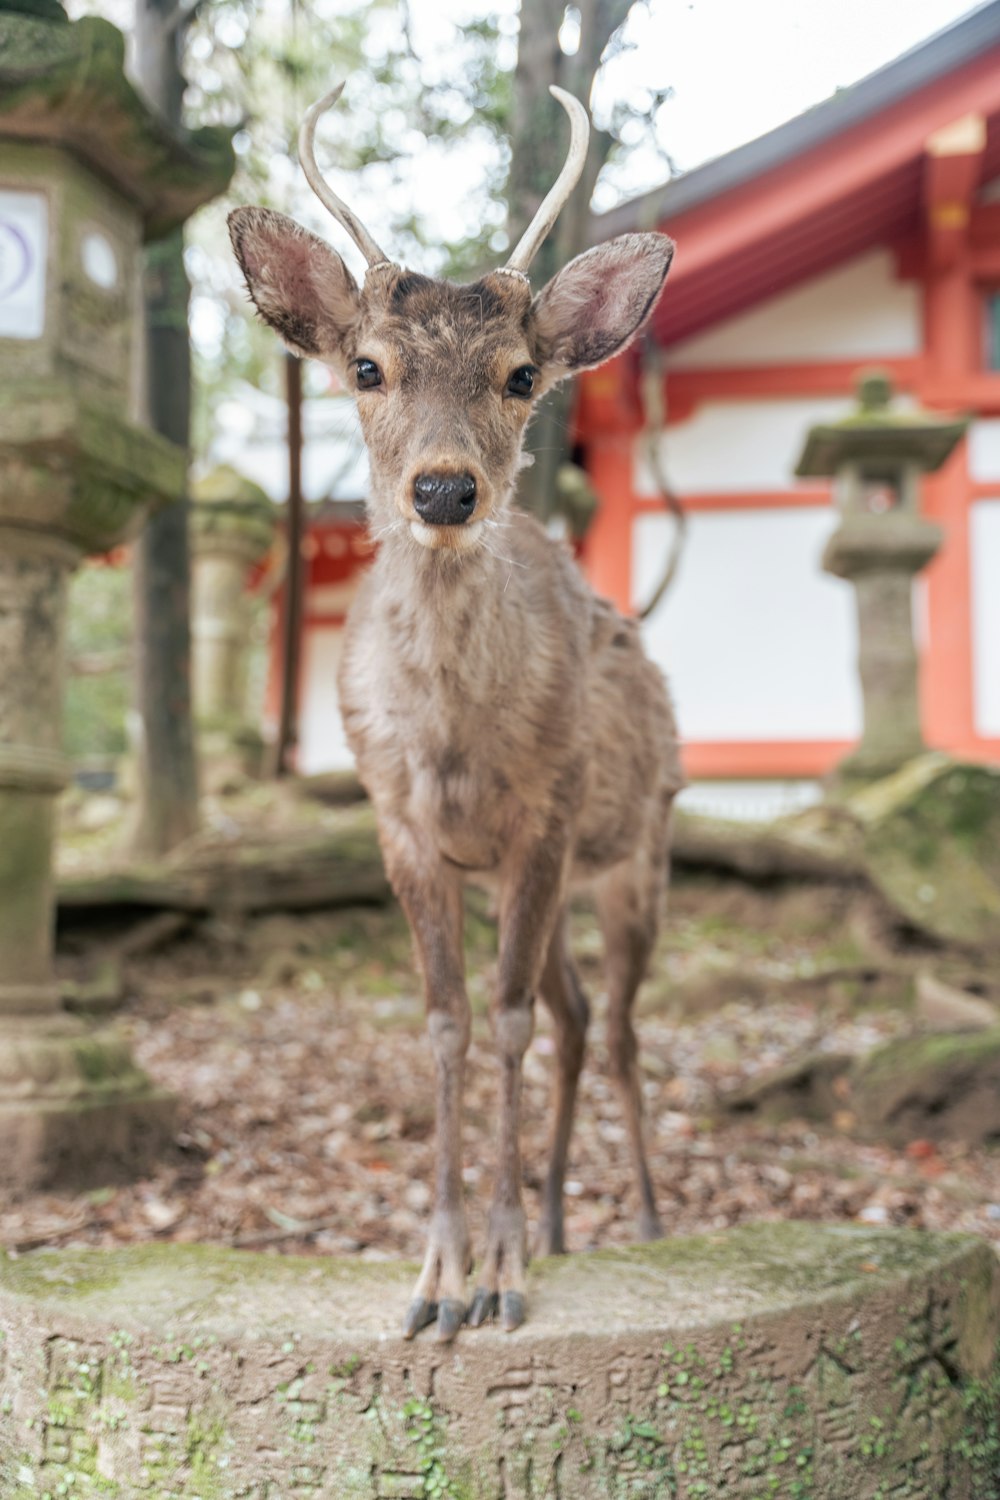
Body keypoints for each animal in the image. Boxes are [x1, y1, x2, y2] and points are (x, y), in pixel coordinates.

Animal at [227, 85, 683, 1350]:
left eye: (522, 375)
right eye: (365, 366)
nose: (441, 489)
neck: (453, 748)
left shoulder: (549, 816)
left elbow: (509, 1017)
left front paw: (502, 1271)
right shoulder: (402, 827)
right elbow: (446, 1022)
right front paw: (436, 1276)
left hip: (638, 850)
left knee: (614, 1027)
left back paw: (637, 1218)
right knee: (576, 1018)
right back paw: (568, 1219)